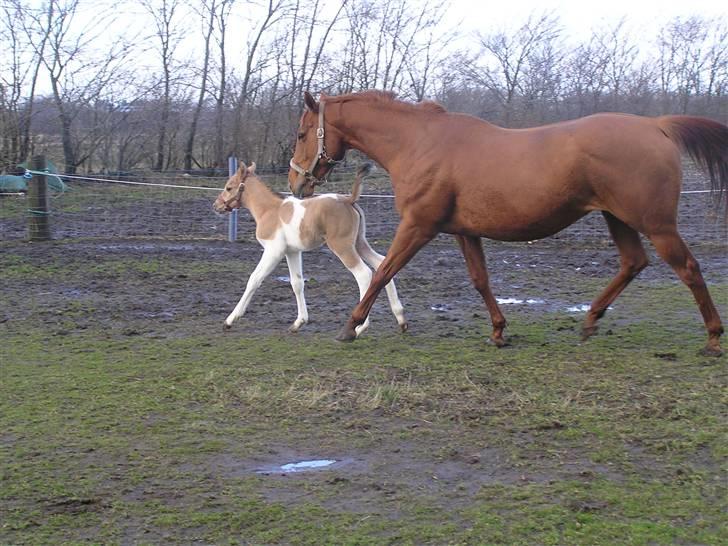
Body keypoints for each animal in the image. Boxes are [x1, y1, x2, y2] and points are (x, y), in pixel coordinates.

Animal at [210, 159, 406, 334]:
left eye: (229, 187)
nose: (216, 206)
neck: (269, 210)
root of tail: (348, 199)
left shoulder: (273, 251)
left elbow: (254, 279)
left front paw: (230, 320)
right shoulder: (292, 252)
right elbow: (297, 283)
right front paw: (299, 322)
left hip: (342, 246)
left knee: (364, 274)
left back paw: (360, 327)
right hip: (359, 242)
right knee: (381, 264)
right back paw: (400, 318)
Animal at [288, 91, 724, 354]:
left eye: (302, 133)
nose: (295, 182)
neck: (419, 144)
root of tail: (656, 125)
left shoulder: (418, 226)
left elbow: (382, 272)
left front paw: (350, 326)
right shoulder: (463, 232)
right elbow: (480, 280)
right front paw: (498, 330)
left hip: (656, 224)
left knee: (688, 268)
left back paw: (714, 338)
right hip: (617, 218)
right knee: (633, 263)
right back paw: (589, 321)